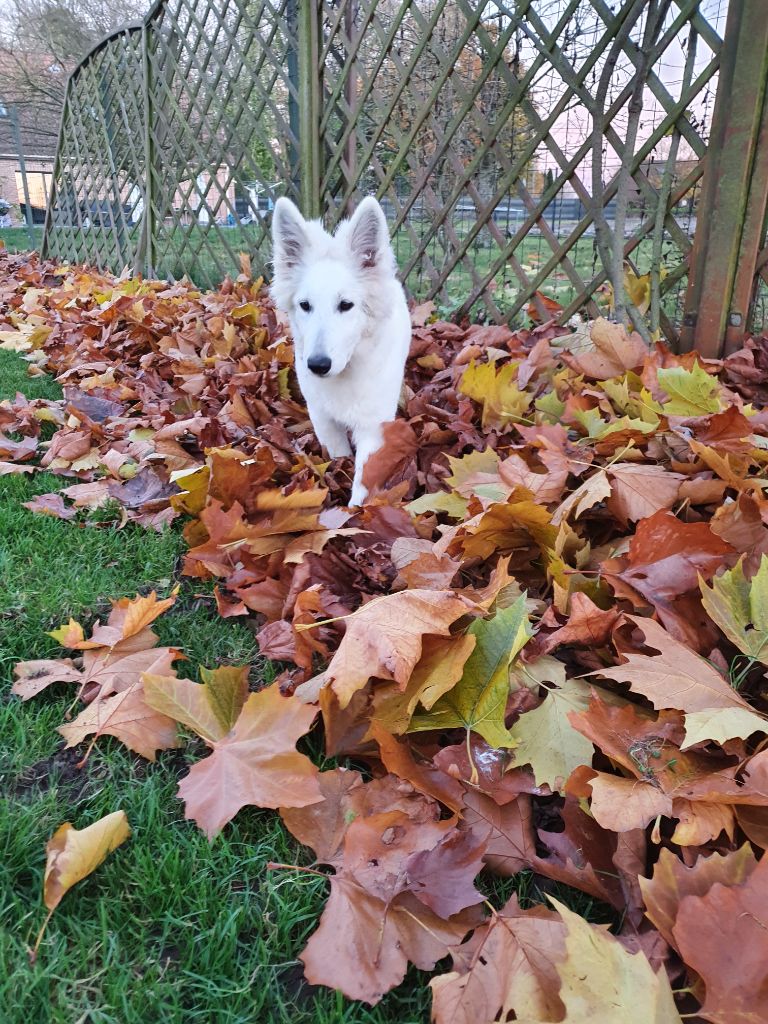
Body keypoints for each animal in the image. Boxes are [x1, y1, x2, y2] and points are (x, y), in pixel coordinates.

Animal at [272, 193, 411, 505]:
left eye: (346, 305)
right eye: (305, 305)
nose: (317, 365)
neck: (347, 372)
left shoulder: (374, 427)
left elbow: (363, 479)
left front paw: (355, 512)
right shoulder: (322, 419)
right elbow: (337, 457)